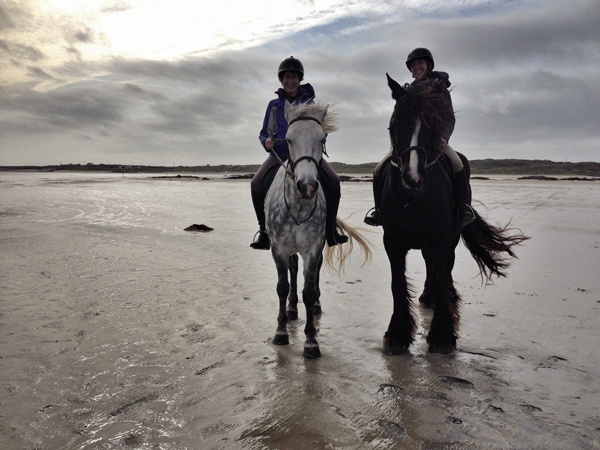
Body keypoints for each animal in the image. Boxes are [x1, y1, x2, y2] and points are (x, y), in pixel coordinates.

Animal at [266, 101, 370, 358]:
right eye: (288, 139)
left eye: (322, 138)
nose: (307, 186)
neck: (298, 207)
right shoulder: (278, 248)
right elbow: (282, 287)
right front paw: (281, 332)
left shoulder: (313, 249)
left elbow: (309, 290)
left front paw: (311, 341)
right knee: (293, 271)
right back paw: (292, 310)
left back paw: (314, 307)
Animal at [380, 74, 528, 356]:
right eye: (396, 121)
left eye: (434, 123)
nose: (413, 179)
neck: (411, 199)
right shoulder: (392, 241)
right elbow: (396, 283)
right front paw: (397, 335)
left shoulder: (441, 239)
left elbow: (440, 276)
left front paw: (441, 335)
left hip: (450, 238)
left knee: (443, 269)